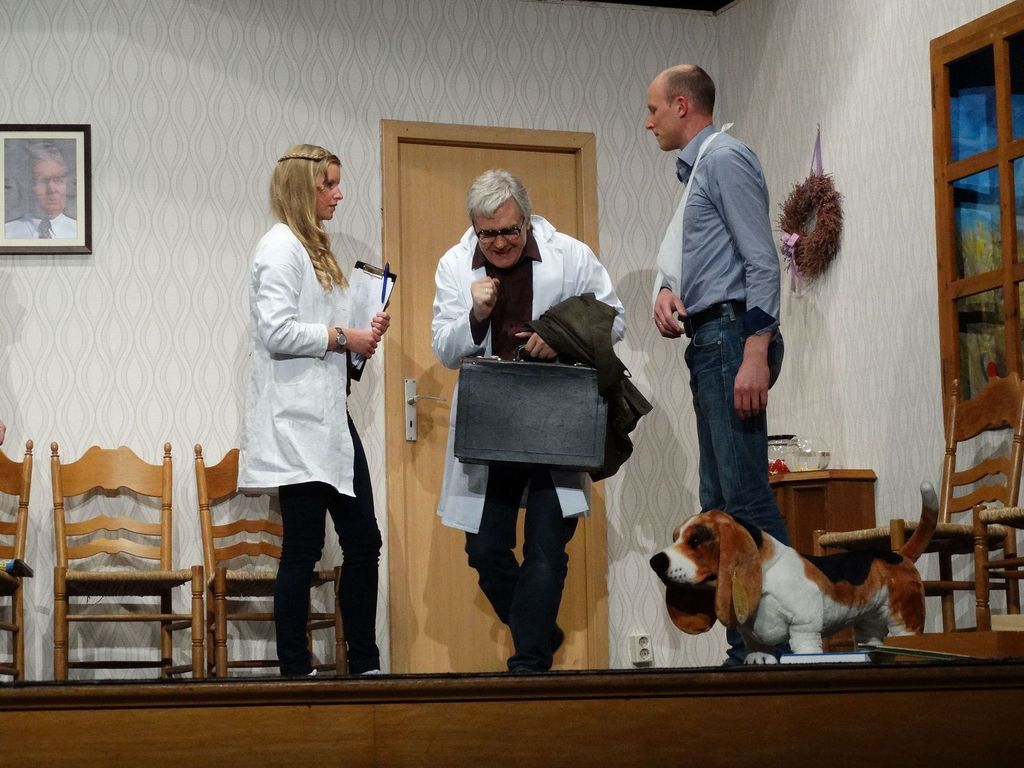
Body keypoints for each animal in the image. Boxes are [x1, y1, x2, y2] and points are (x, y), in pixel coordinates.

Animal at [649, 483, 939, 663]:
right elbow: (756, 646)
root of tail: (899, 554)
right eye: (675, 538)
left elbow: (805, 646)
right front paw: (759, 659)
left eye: (696, 541)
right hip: (869, 622)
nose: (654, 562)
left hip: (904, 620)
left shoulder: (804, 627)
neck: (766, 575)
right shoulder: (752, 634)